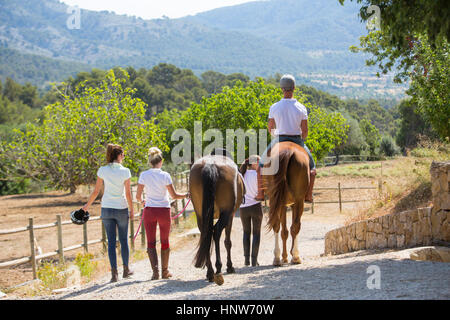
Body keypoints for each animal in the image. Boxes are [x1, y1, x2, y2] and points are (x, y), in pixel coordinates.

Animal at [190, 152, 246, 284]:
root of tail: (210, 165)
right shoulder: (230, 216)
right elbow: (227, 242)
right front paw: (230, 266)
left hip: (200, 215)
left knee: (206, 234)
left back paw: (210, 272)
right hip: (226, 213)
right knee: (216, 232)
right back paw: (218, 268)